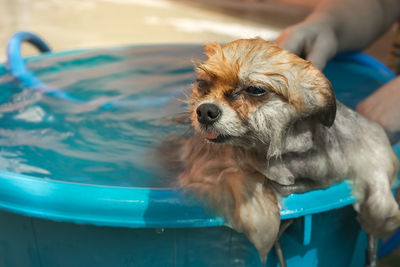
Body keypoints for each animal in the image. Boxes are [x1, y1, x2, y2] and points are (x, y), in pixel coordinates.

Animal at [160, 37, 400, 264]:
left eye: (255, 90)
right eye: (202, 84)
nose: (204, 111)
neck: (287, 157)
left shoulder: (368, 140)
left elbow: (377, 175)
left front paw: (381, 218)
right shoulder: (202, 170)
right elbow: (235, 176)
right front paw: (259, 216)